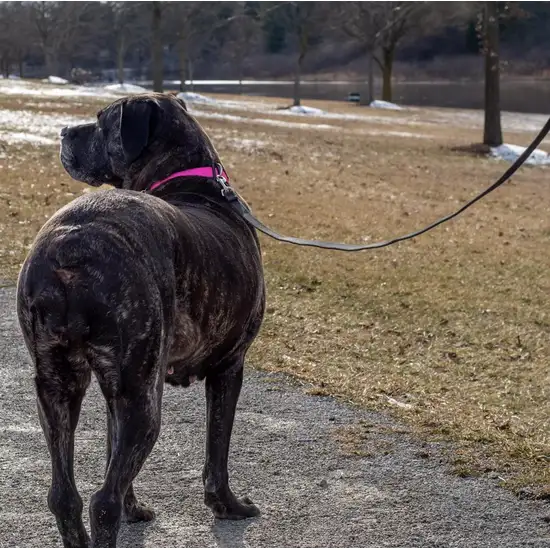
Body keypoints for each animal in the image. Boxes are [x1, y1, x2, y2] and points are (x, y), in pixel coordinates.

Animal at [16, 94, 266, 548]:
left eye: (102, 122)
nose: (63, 131)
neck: (188, 180)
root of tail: (71, 244)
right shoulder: (229, 367)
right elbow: (217, 450)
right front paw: (228, 506)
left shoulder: (116, 391)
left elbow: (112, 451)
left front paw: (135, 508)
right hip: (144, 400)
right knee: (102, 501)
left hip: (59, 386)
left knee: (65, 496)